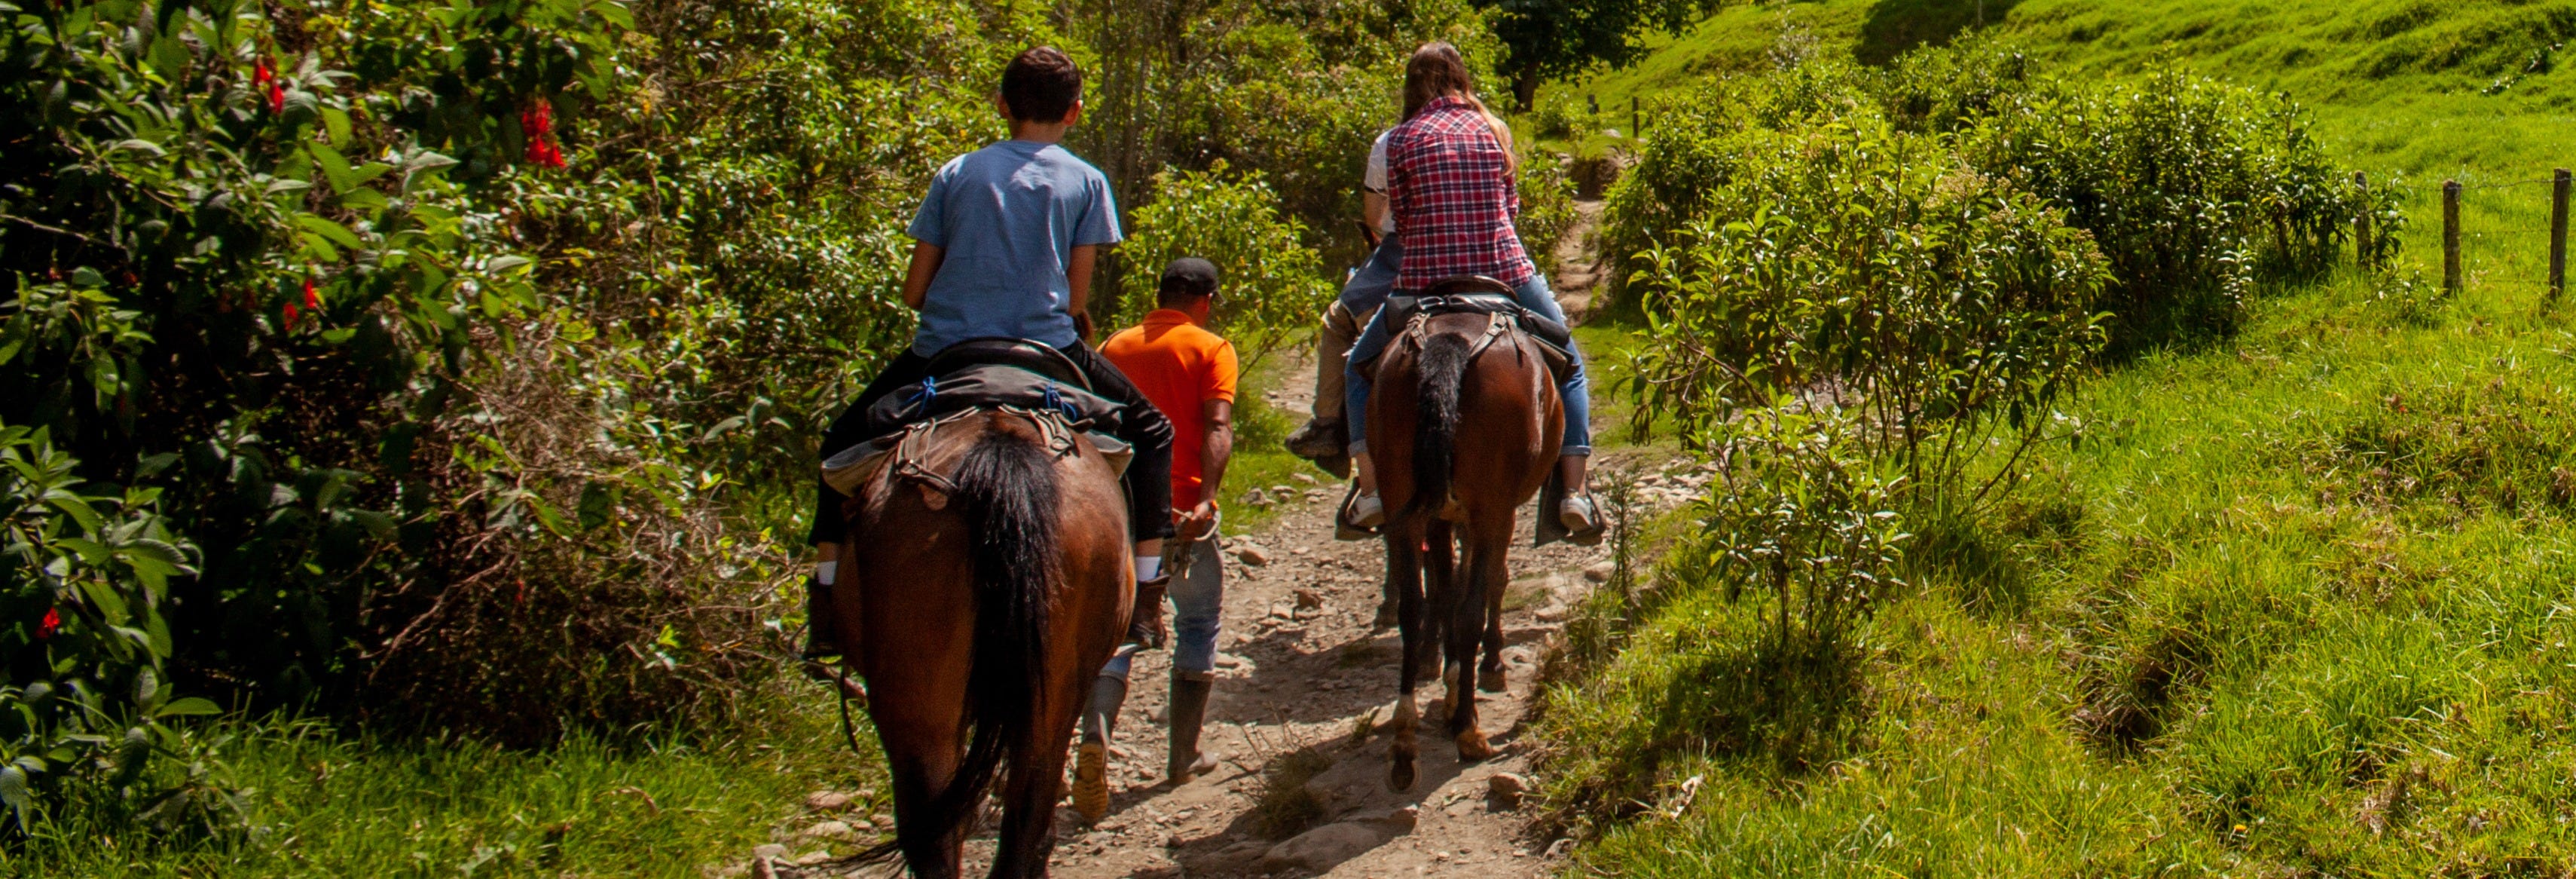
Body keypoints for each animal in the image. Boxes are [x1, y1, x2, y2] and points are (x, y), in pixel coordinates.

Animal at [1360, 275, 1556, 789]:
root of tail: (1452, 338)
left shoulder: (1442, 516)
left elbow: (1445, 591)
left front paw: (1449, 688)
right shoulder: (1495, 513)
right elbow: (1487, 585)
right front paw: (1487, 670)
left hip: (1404, 506)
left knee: (1412, 607)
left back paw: (1404, 743)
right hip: (1489, 508)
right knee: (1469, 609)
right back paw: (1470, 732)